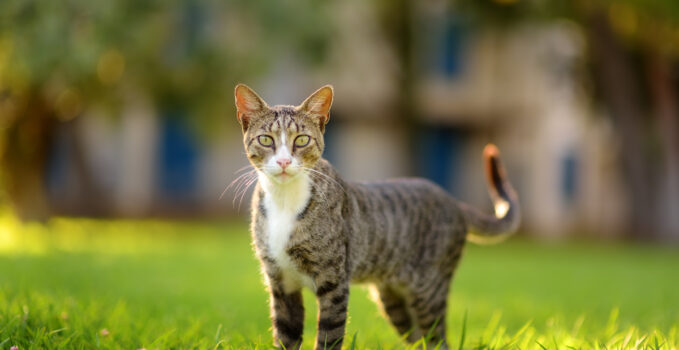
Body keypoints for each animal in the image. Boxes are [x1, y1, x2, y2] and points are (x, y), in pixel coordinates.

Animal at [234, 83, 520, 348]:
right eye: (266, 140)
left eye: (302, 140)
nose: (283, 162)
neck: (284, 203)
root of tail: (454, 203)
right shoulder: (281, 283)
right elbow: (286, 336)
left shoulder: (334, 281)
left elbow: (329, 336)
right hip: (393, 300)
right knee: (416, 338)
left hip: (429, 291)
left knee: (437, 340)